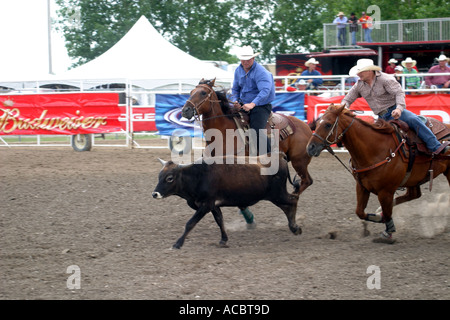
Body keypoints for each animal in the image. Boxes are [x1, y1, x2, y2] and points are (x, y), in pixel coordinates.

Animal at [179, 79, 312, 225]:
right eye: (191, 91)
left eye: (203, 92)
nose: (185, 110)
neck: (223, 133)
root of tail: (306, 126)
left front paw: (249, 218)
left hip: (299, 161)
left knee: (306, 182)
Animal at [306, 104, 450, 242]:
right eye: (317, 124)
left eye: (328, 124)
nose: (310, 147)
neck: (375, 149)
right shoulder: (362, 187)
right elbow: (360, 211)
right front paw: (377, 218)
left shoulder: (386, 191)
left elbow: (387, 213)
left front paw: (388, 232)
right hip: (413, 179)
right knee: (413, 195)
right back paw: (379, 211)